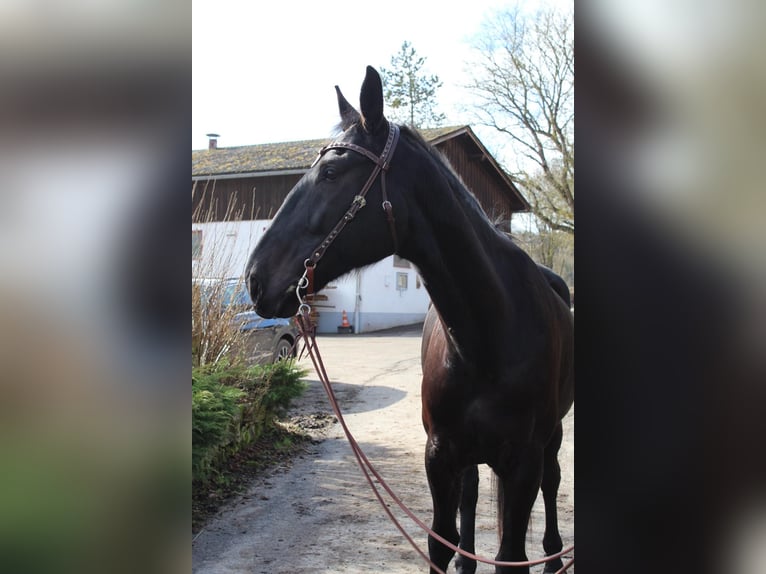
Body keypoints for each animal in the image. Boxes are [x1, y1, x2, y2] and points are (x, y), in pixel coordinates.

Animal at [245, 66, 574, 574]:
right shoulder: (439, 455)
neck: (488, 335)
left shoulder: (523, 462)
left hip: (550, 440)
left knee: (553, 483)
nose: (256, 279)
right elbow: (443, 542)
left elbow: (510, 553)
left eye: (332, 172)